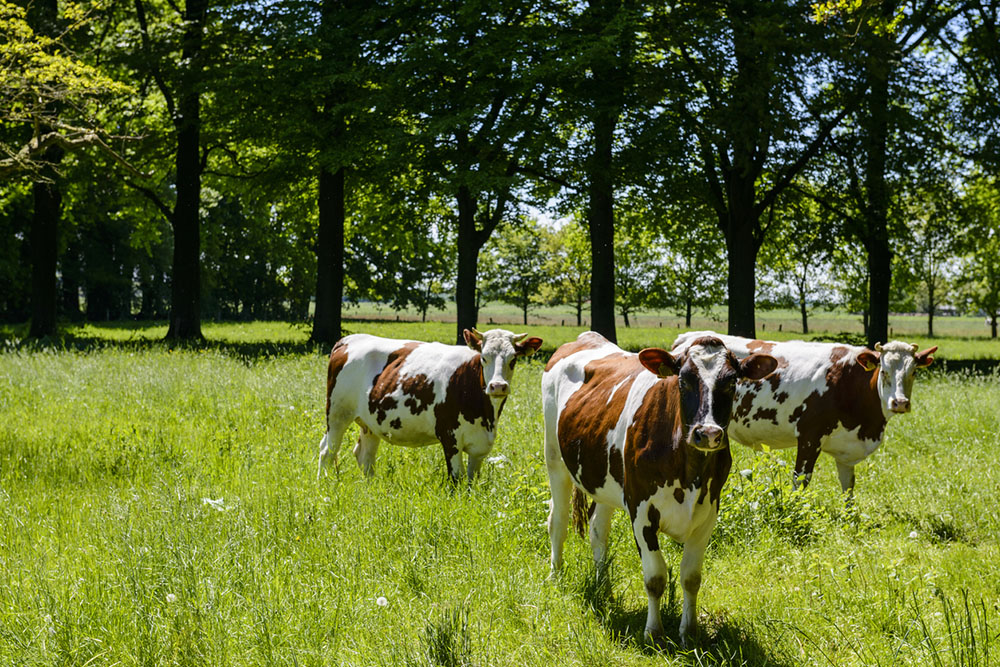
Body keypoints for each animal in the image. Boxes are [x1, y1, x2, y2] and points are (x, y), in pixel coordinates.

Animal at [319, 328, 543, 483]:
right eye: (484, 358)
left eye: (513, 359)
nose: (498, 386)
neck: (485, 414)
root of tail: (348, 339)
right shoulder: (449, 437)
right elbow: (456, 479)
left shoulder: (479, 445)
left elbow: (471, 482)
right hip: (337, 414)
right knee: (327, 450)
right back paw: (326, 485)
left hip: (370, 422)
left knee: (364, 455)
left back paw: (371, 487)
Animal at [542, 332, 777, 646]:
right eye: (683, 380)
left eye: (731, 382)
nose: (708, 433)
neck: (689, 472)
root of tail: (587, 337)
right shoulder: (641, 511)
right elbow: (655, 577)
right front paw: (654, 633)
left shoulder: (708, 512)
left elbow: (691, 577)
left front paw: (689, 633)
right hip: (554, 459)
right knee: (557, 521)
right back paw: (555, 576)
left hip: (603, 478)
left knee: (597, 531)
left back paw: (603, 584)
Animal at [671, 331, 937, 495]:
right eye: (883, 371)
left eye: (914, 372)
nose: (900, 403)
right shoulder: (810, 436)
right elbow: (800, 480)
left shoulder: (846, 447)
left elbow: (848, 487)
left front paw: (850, 520)